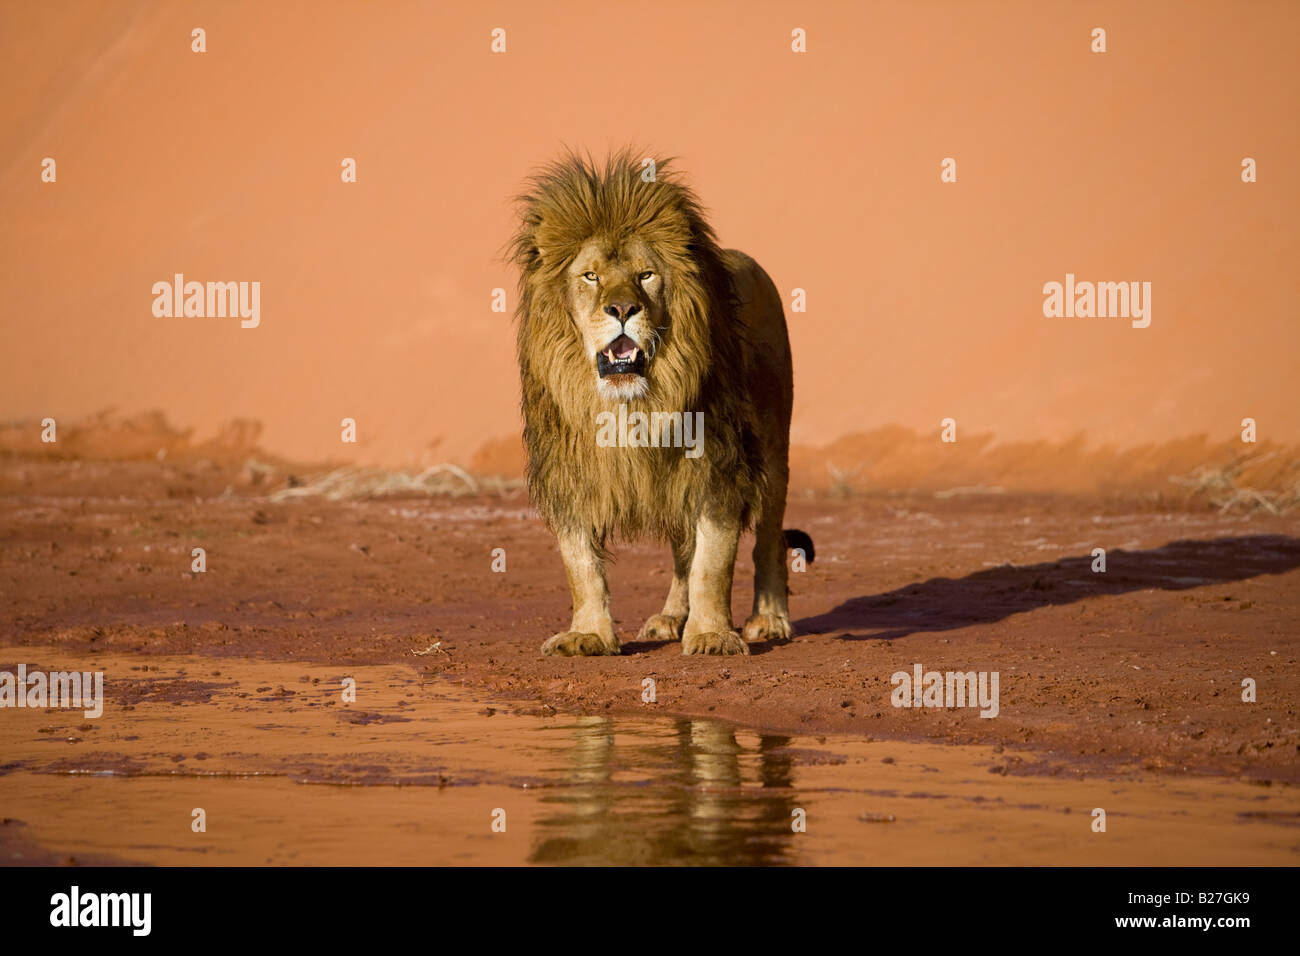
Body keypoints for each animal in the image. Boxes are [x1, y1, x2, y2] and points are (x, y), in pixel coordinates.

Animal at [506, 149, 811, 658]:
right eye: (591, 276)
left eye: (645, 275)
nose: (622, 309)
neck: (631, 405)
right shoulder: (570, 471)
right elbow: (581, 565)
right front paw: (589, 634)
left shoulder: (718, 463)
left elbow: (714, 561)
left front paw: (711, 635)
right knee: (681, 549)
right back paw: (671, 617)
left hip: (772, 447)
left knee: (766, 538)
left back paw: (769, 620)